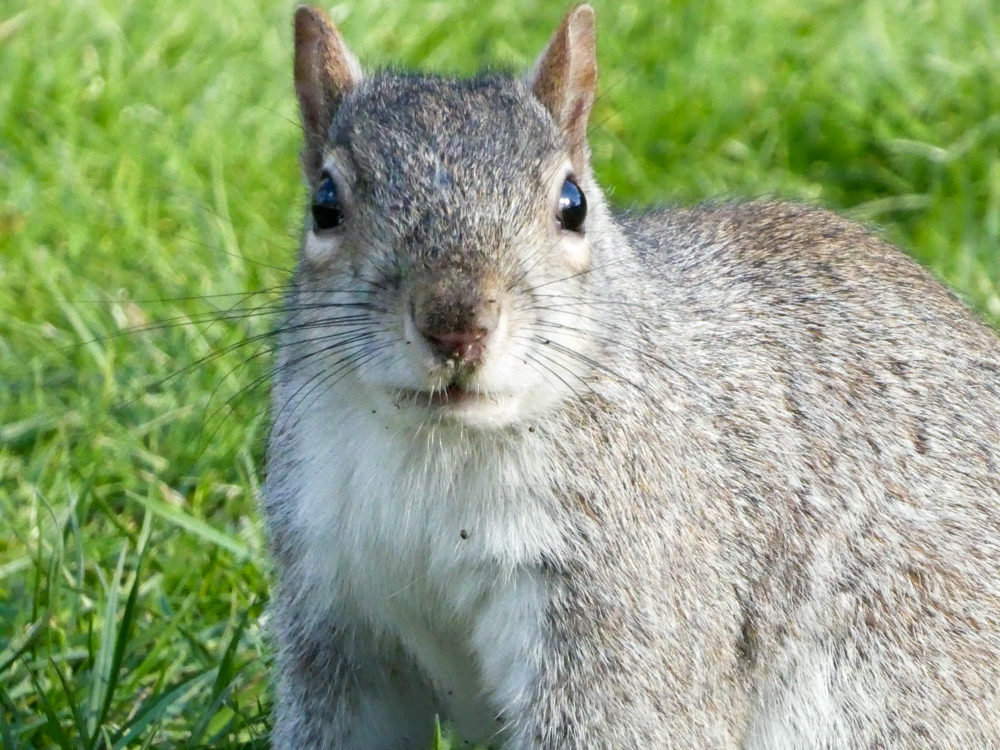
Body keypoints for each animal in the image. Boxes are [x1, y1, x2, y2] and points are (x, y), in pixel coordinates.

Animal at [262, 5, 1000, 750]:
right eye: (325, 204)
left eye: (573, 203)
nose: (456, 323)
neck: (438, 449)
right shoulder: (333, 601)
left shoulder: (630, 589)